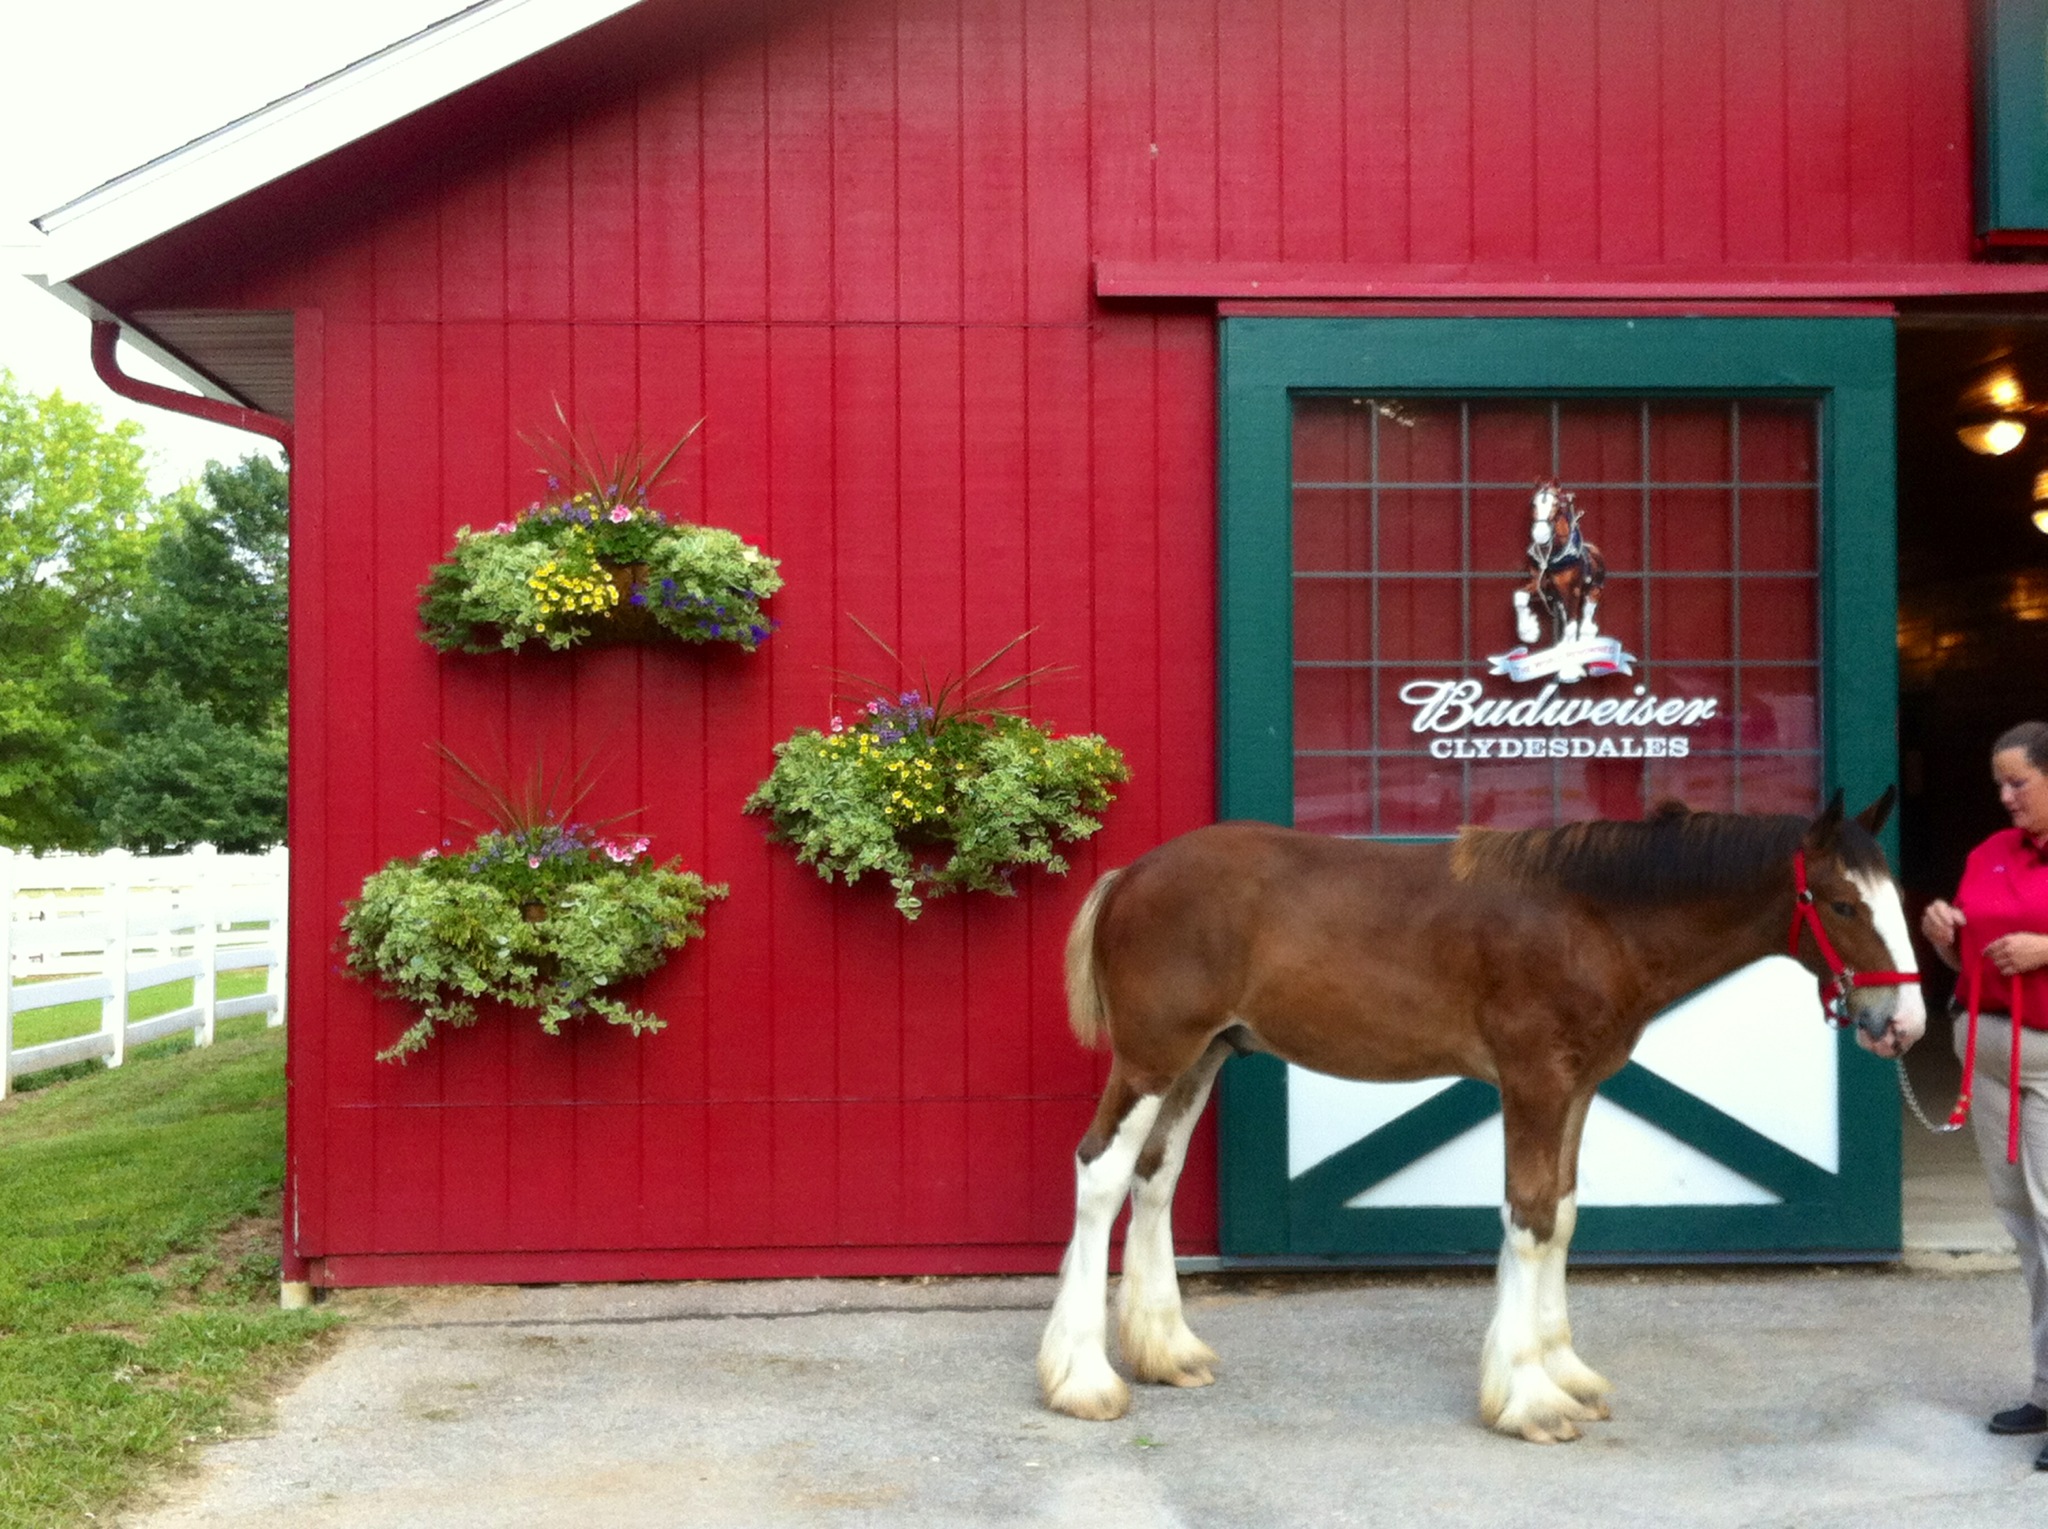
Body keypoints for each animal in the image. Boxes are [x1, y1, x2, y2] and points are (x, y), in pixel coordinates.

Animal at [1040, 794, 1916, 1440]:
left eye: (1898, 901)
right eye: (1843, 903)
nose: (1902, 1022)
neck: (1593, 916)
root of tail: (1131, 875)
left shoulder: (1577, 1088)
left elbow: (1562, 1215)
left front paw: (1566, 1373)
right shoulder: (1533, 1082)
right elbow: (1528, 1219)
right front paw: (1529, 1398)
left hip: (1203, 1058)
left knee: (1154, 1176)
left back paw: (1166, 1350)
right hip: (1154, 1058)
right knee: (1100, 1172)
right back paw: (1084, 1379)